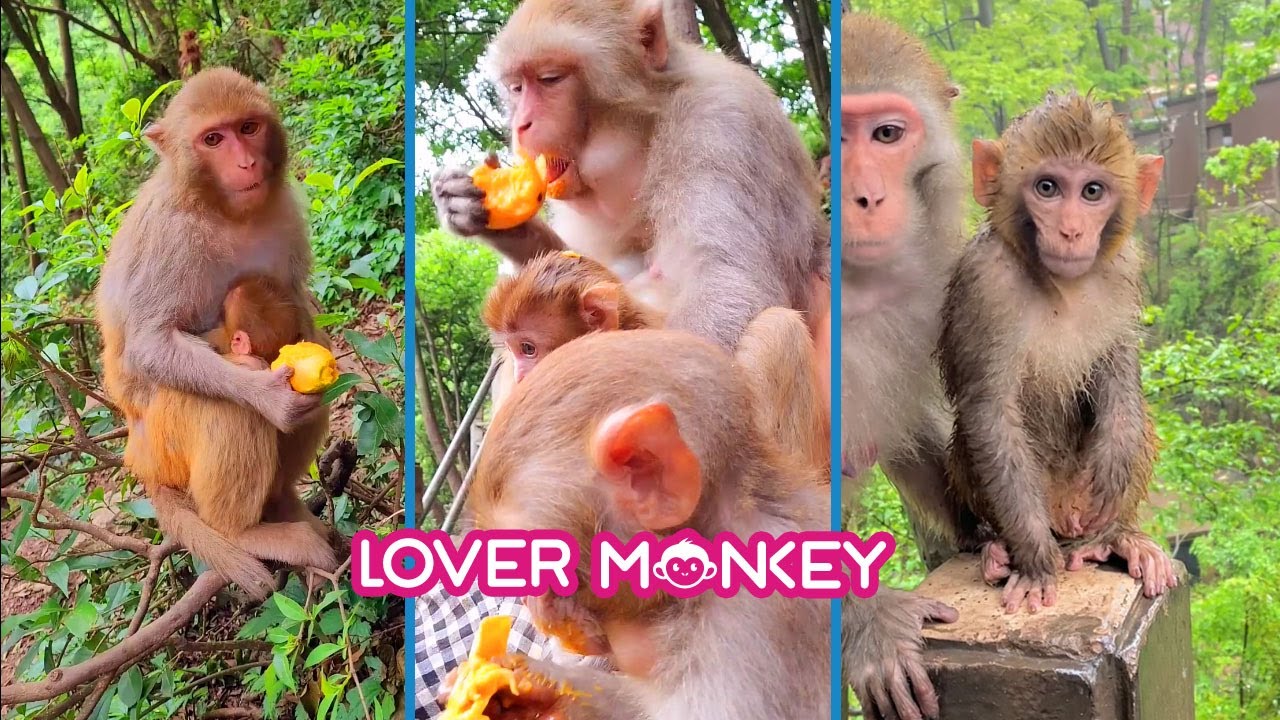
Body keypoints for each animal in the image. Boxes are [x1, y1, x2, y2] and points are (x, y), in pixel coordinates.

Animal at [97, 68, 336, 599]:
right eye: (213, 140)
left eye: (247, 128)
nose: (245, 162)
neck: (224, 212)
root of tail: (135, 456)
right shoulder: (171, 239)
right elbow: (148, 345)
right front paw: (269, 395)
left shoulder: (286, 212)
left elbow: (298, 307)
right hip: (164, 443)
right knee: (226, 407)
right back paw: (242, 530)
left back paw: (282, 500)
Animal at [431, 0, 828, 350]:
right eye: (517, 87)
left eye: (549, 79)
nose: (521, 124)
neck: (649, 132)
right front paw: (483, 215)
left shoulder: (722, 124)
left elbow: (728, 279)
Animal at [938, 91, 1177, 615]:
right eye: (1047, 188)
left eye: (1092, 192)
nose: (1070, 231)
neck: (1059, 287)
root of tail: (1066, 518)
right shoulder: (985, 281)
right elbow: (991, 412)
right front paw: (1033, 561)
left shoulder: (1123, 269)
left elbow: (1119, 374)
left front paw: (1115, 461)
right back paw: (997, 548)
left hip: (1081, 504)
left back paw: (1116, 538)